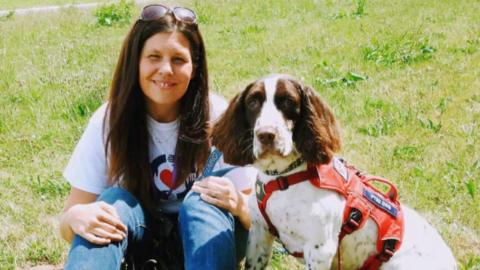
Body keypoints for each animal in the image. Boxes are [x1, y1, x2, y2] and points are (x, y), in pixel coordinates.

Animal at [212, 73, 456, 268]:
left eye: (289, 101)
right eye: (253, 101)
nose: (266, 135)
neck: (283, 177)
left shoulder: (320, 250)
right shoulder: (260, 233)